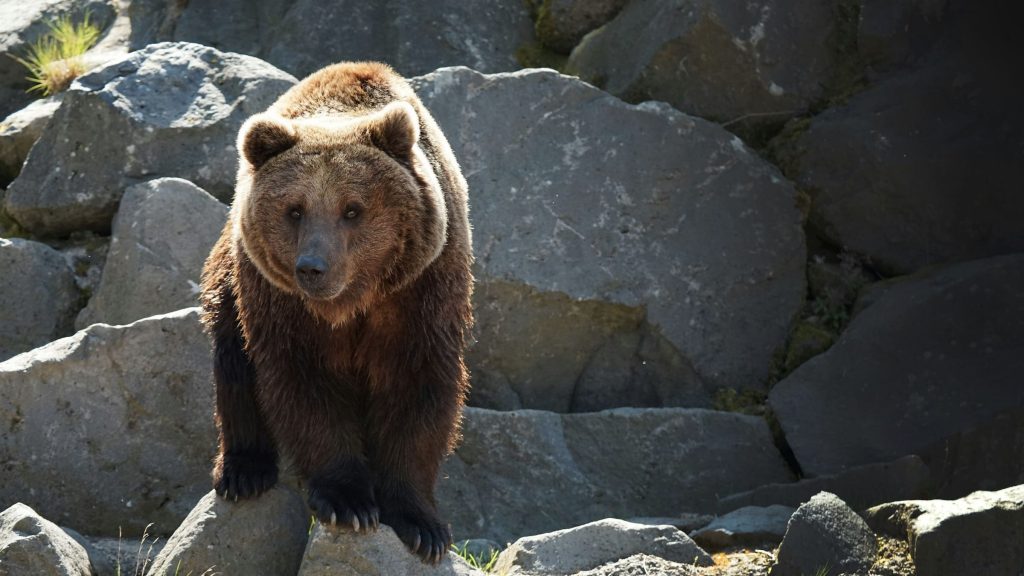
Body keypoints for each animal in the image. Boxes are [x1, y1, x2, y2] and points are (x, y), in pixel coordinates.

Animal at [199, 61, 473, 564]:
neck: (351, 302)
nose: (313, 267)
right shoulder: (283, 306)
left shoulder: (422, 293)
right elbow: (304, 385)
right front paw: (349, 501)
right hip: (232, 277)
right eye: (295, 210)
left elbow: (418, 390)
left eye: (352, 209)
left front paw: (422, 525)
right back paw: (244, 470)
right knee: (233, 359)